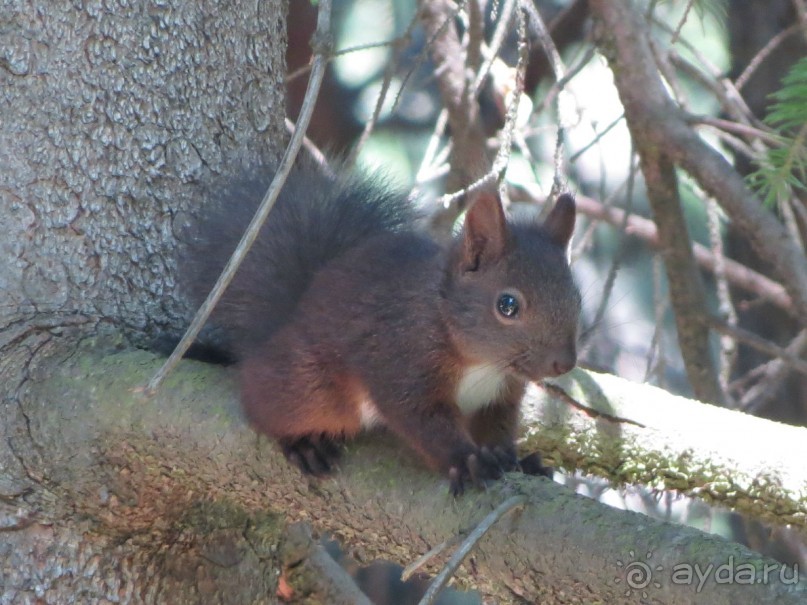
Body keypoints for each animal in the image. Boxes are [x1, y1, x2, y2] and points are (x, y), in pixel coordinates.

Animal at [183, 162, 580, 496]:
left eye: (576, 295)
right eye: (507, 305)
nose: (564, 363)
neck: (481, 362)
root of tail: (289, 316)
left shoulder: (498, 397)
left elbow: (497, 427)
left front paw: (516, 461)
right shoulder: (399, 359)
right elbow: (422, 420)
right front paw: (466, 461)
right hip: (314, 385)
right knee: (262, 398)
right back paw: (303, 443)